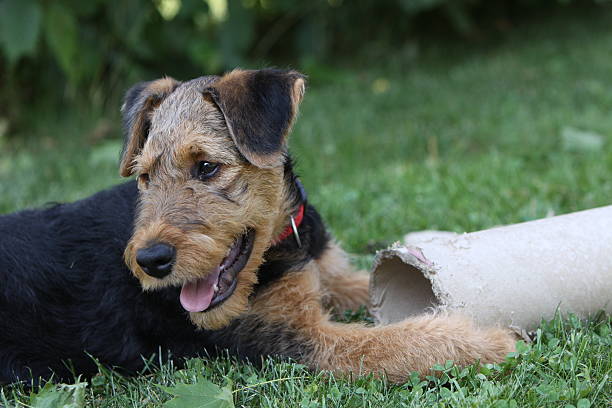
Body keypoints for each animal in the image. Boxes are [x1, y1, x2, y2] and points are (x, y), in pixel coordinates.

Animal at [0, 68, 516, 384]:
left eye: (207, 167)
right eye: (144, 177)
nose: (150, 261)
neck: (280, 244)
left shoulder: (321, 274)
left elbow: (366, 286)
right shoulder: (296, 340)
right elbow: (395, 343)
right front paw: (490, 341)